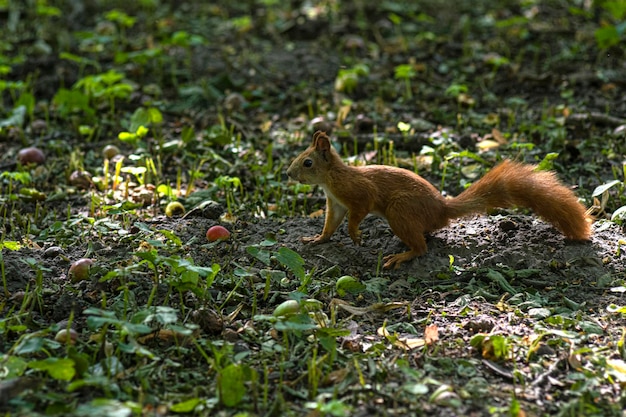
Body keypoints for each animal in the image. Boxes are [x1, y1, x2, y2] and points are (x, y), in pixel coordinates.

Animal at [286, 130, 588, 268]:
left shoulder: (358, 193)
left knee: (422, 248)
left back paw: (401, 255)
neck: (331, 179)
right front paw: (316, 239)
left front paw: (355, 234)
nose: (288, 174)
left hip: (399, 210)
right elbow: (330, 225)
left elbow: (357, 213)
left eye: (307, 162)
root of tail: (442, 209)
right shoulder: (335, 203)